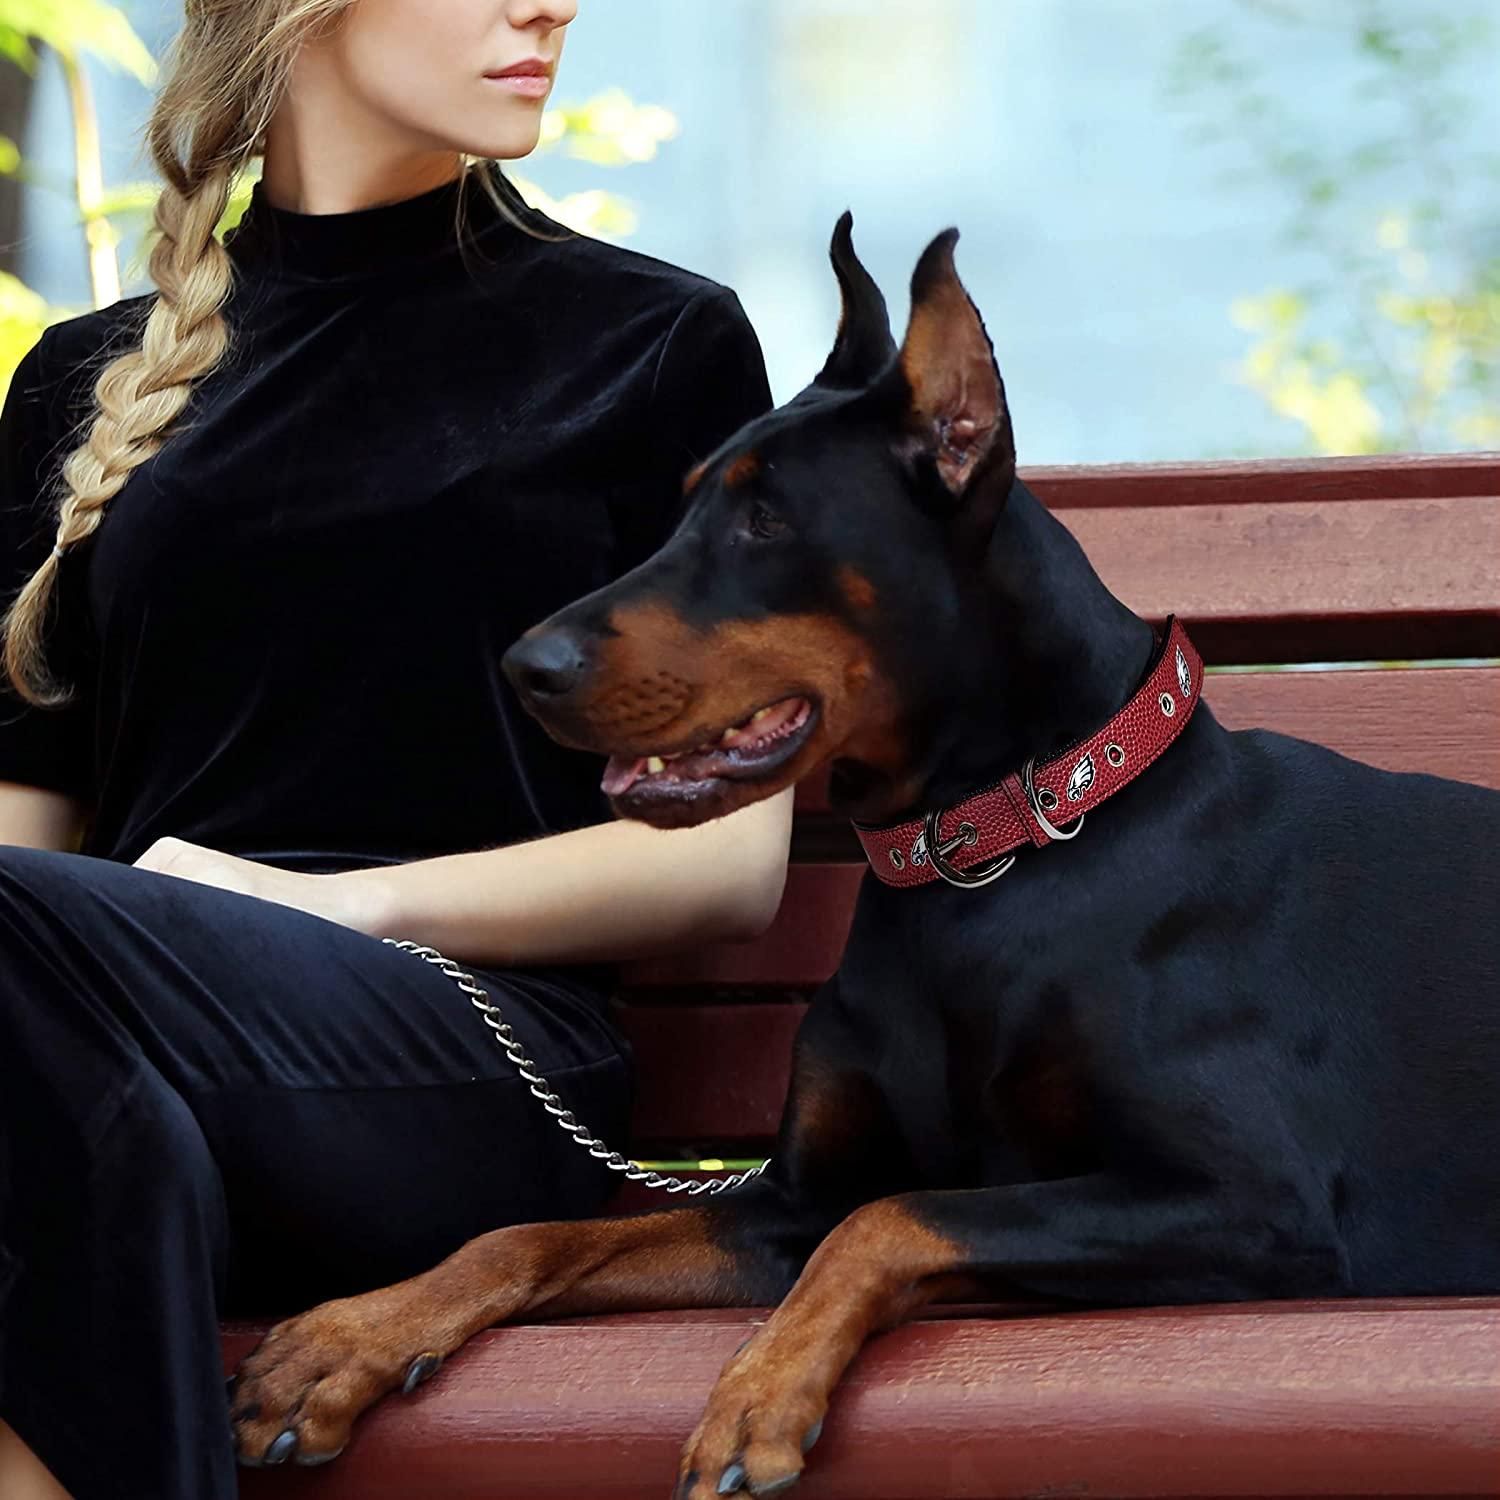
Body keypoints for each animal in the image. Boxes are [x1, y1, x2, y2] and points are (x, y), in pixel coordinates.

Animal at [225, 217, 1500, 1494]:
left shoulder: (1253, 1198)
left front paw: (756, 1393)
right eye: (683, 508)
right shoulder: (782, 1201)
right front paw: (353, 1336)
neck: (983, 859)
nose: (525, 667)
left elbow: (894, 1216)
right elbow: (534, 1231)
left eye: (765, 520)